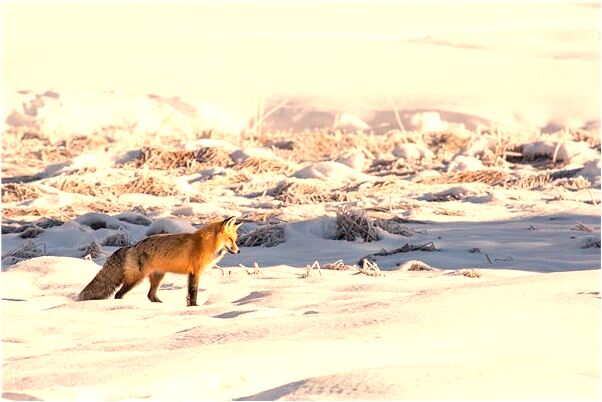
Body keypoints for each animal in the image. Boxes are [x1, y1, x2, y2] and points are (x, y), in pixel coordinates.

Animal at [77, 218, 241, 306]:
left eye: (235, 240)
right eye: (230, 240)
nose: (239, 251)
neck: (206, 244)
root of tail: (130, 246)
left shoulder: (192, 274)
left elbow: (189, 295)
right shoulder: (195, 272)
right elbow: (193, 293)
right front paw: (195, 307)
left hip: (158, 277)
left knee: (150, 295)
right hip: (136, 279)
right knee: (119, 294)